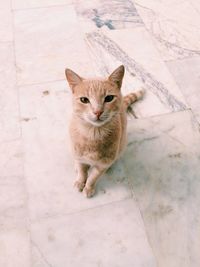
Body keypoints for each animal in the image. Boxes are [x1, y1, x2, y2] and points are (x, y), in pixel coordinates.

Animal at [65, 66, 144, 198]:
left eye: (109, 98)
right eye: (84, 100)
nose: (97, 112)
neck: (93, 133)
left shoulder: (102, 165)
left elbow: (93, 177)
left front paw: (89, 187)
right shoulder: (80, 156)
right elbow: (82, 171)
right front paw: (80, 181)